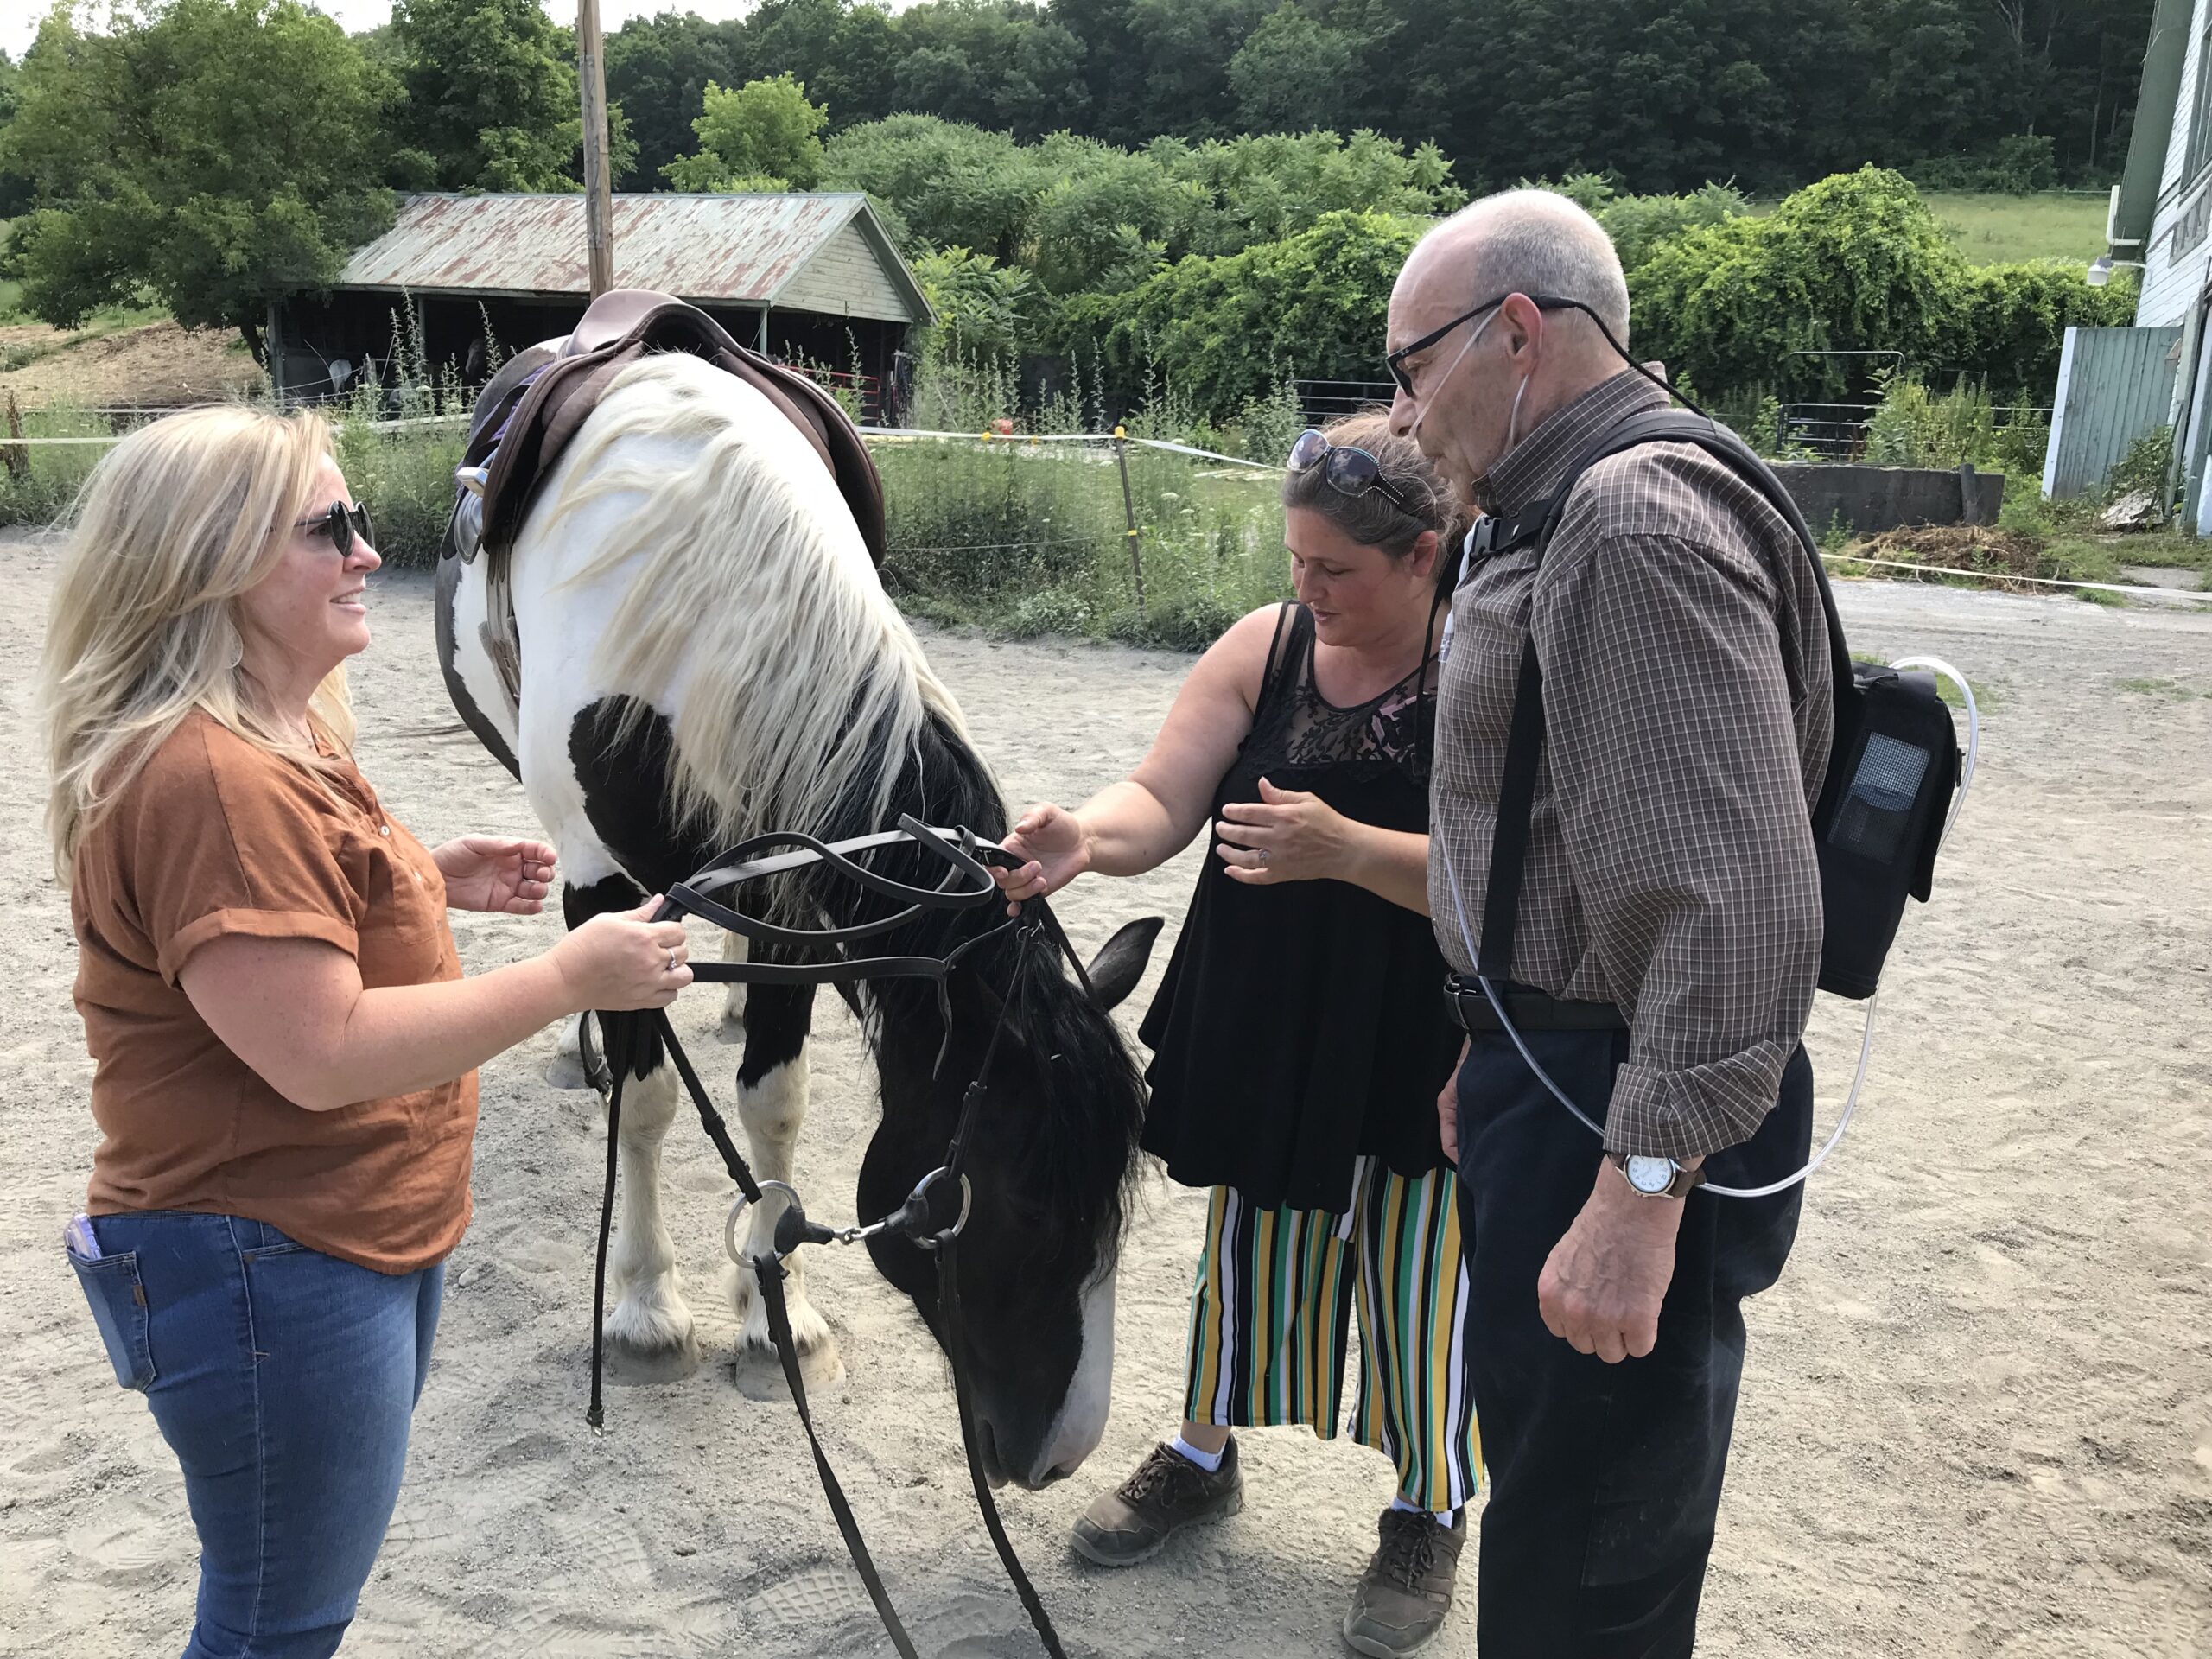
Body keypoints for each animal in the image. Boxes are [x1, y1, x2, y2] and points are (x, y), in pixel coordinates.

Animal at [431, 353, 1159, 1495]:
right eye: (1024, 1203)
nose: (1062, 1454)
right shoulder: (604, 886)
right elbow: (646, 1104)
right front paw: (647, 1309)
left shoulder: (788, 891)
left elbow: (775, 1101)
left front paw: (781, 1323)